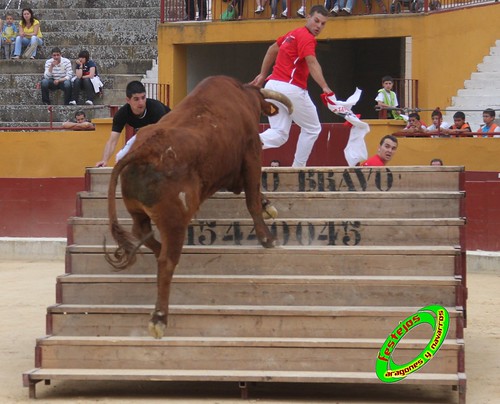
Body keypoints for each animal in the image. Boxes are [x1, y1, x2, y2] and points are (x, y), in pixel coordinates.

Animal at [106, 75, 292, 338]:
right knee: (166, 261)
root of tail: (145, 150)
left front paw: (268, 205)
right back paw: (159, 318)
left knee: (142, 233)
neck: (243, 97)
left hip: (138, 211)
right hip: (174, 220)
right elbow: (252, 198)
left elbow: (251, 192)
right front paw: (267, 238)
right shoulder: (252, 154)